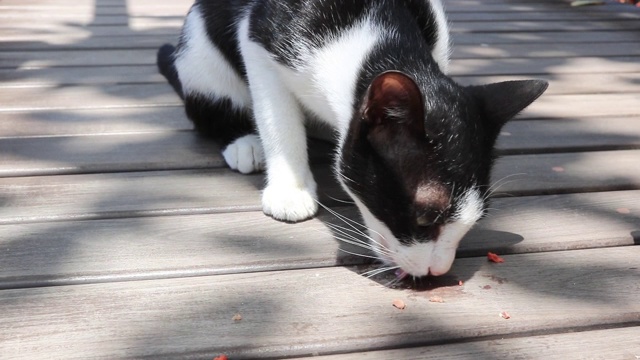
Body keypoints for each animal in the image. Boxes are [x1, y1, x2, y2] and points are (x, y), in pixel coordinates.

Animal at [158, 0, 548, 278]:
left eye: (475, 219)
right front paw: (290, 187)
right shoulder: (257, 41)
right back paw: (243, 141)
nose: (438, 270)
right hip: (199, 54)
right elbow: (276, 114)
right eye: (425, 218)